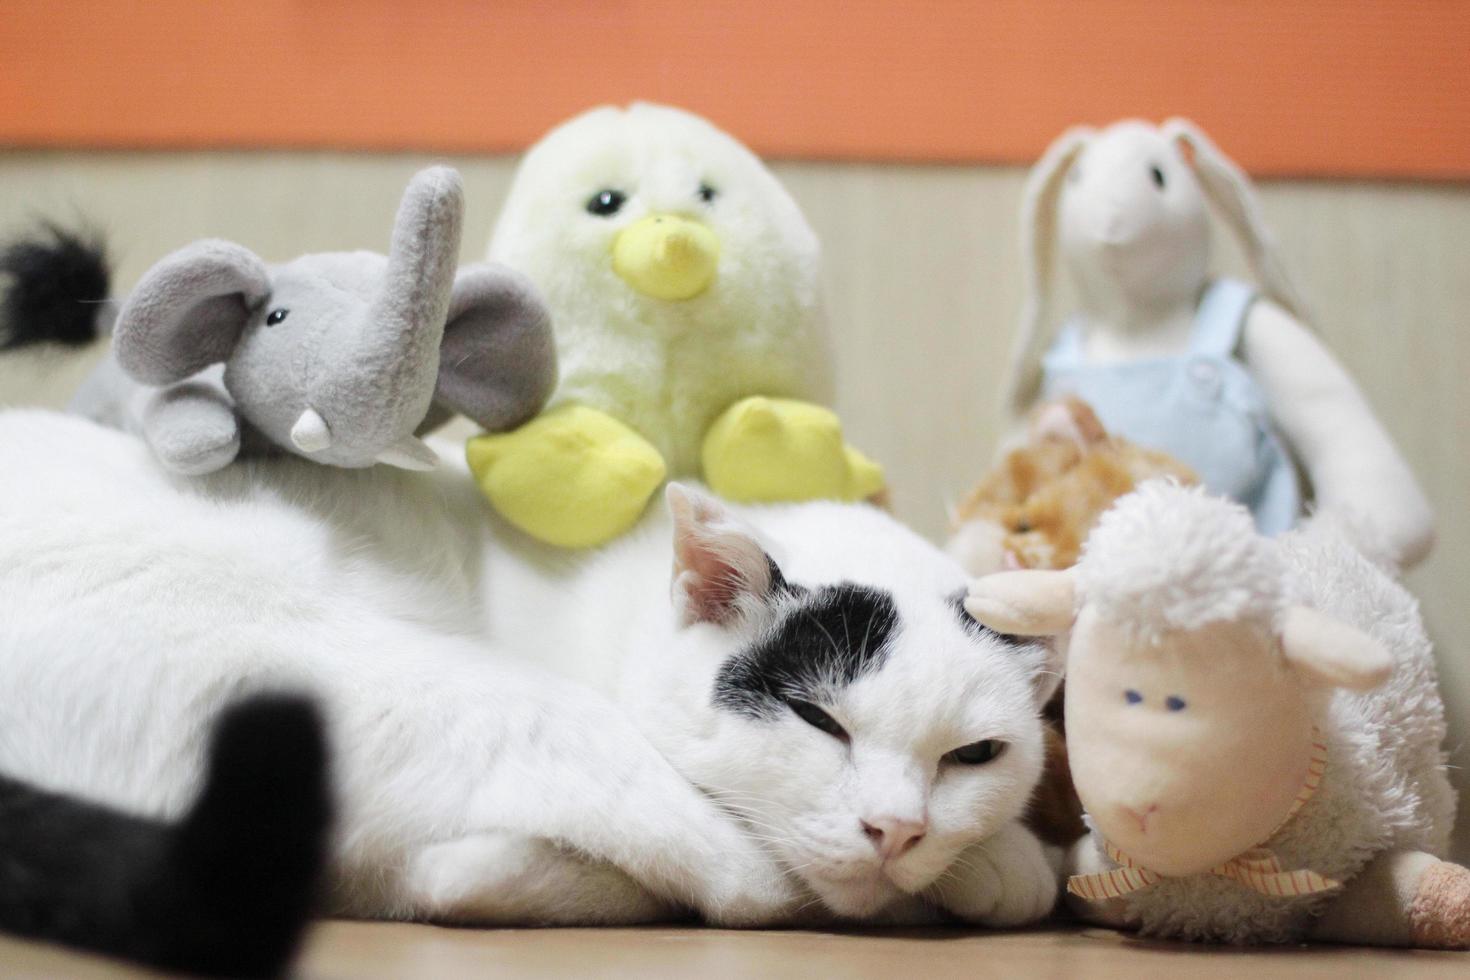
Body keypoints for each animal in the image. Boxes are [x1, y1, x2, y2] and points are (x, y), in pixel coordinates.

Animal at [0, 411, 1064, 934]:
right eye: (822, 724)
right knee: (735, 879)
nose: (898, 832)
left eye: (974, 756)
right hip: (432, 687)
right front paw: (995, 864)